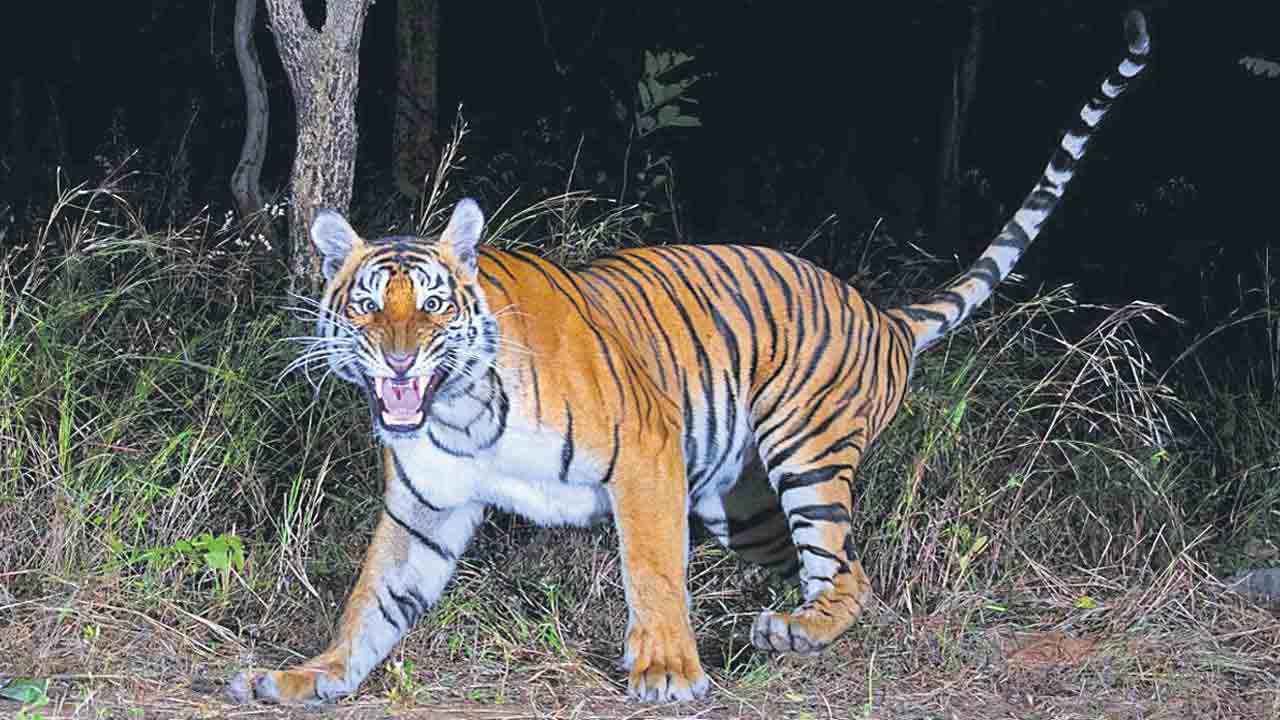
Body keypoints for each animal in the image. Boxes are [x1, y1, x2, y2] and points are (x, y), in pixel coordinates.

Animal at [229, 11, 1150, 705]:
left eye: (432, 304)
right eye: (365, 304)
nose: (395, 360)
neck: (458, 413)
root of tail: (881, 313)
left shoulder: (646, 453)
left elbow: (651, 567)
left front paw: (667, 670)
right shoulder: (426, 505)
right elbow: (371, 601)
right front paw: (309, 677)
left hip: (807, 455)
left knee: (848, 573)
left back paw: (794, 631)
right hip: (740, 504)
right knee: (831, 566)